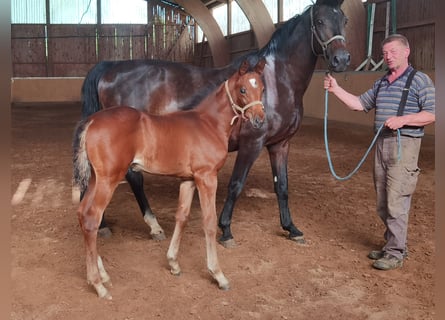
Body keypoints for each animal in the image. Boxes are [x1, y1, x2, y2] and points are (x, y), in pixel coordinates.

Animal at [72, 58, 266, 298]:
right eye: (242, 89)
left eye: (262, 88)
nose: (259, 120)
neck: (208, 123)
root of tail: (91, 122)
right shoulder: (207, 177)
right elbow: (209, 222)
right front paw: (218, 275)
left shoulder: (188, 179)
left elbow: (181, 217)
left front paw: (173, 263)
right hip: (108, 179)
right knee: (92, 218)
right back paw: (98, 284)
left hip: (95, 179)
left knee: (82, 213)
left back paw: (103, 274)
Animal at [81, 0, 348, 246]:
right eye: (320, 21)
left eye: (344, 20)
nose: (342, 59)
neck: (275, 81)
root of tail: (111, 68)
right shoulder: (253, 143)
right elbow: (236, 185)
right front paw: (226, 230)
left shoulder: (280, 144)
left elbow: (282, 186)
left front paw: (291, 228)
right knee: (130, 179)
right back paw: (149, 225)